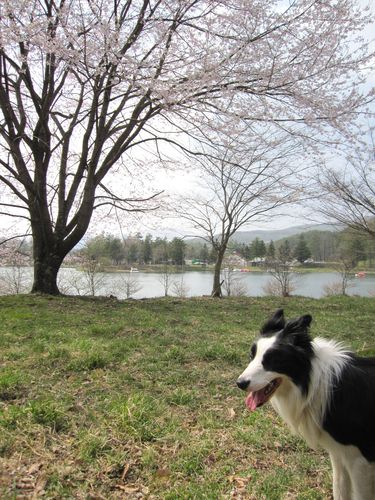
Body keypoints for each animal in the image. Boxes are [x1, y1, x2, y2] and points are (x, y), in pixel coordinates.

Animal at [238, 308, 375, 500]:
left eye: (271, 360)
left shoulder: (360, 461)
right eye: (252, 355)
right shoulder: (339, 455)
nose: (240, 383)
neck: (316, 384)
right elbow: (339, 490)